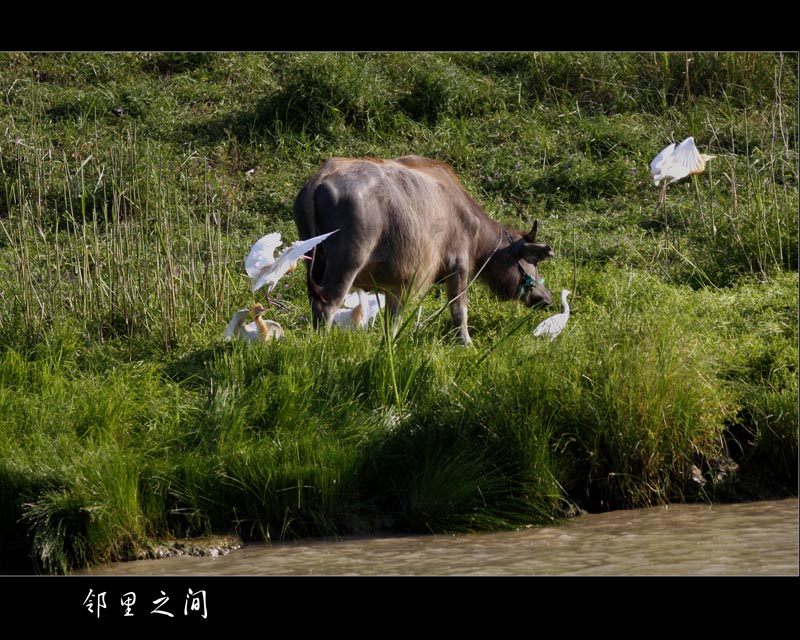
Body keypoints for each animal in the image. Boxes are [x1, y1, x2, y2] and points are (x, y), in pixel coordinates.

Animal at [290, 156, 552, 344]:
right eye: (534, 262)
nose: (547, 298)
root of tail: (322, 177)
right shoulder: (459, 267)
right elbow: (459, 309)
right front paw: (466, 342)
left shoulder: (398, 284)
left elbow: (393, 318)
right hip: (345, 264)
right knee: (327, 304)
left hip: (313, 259)